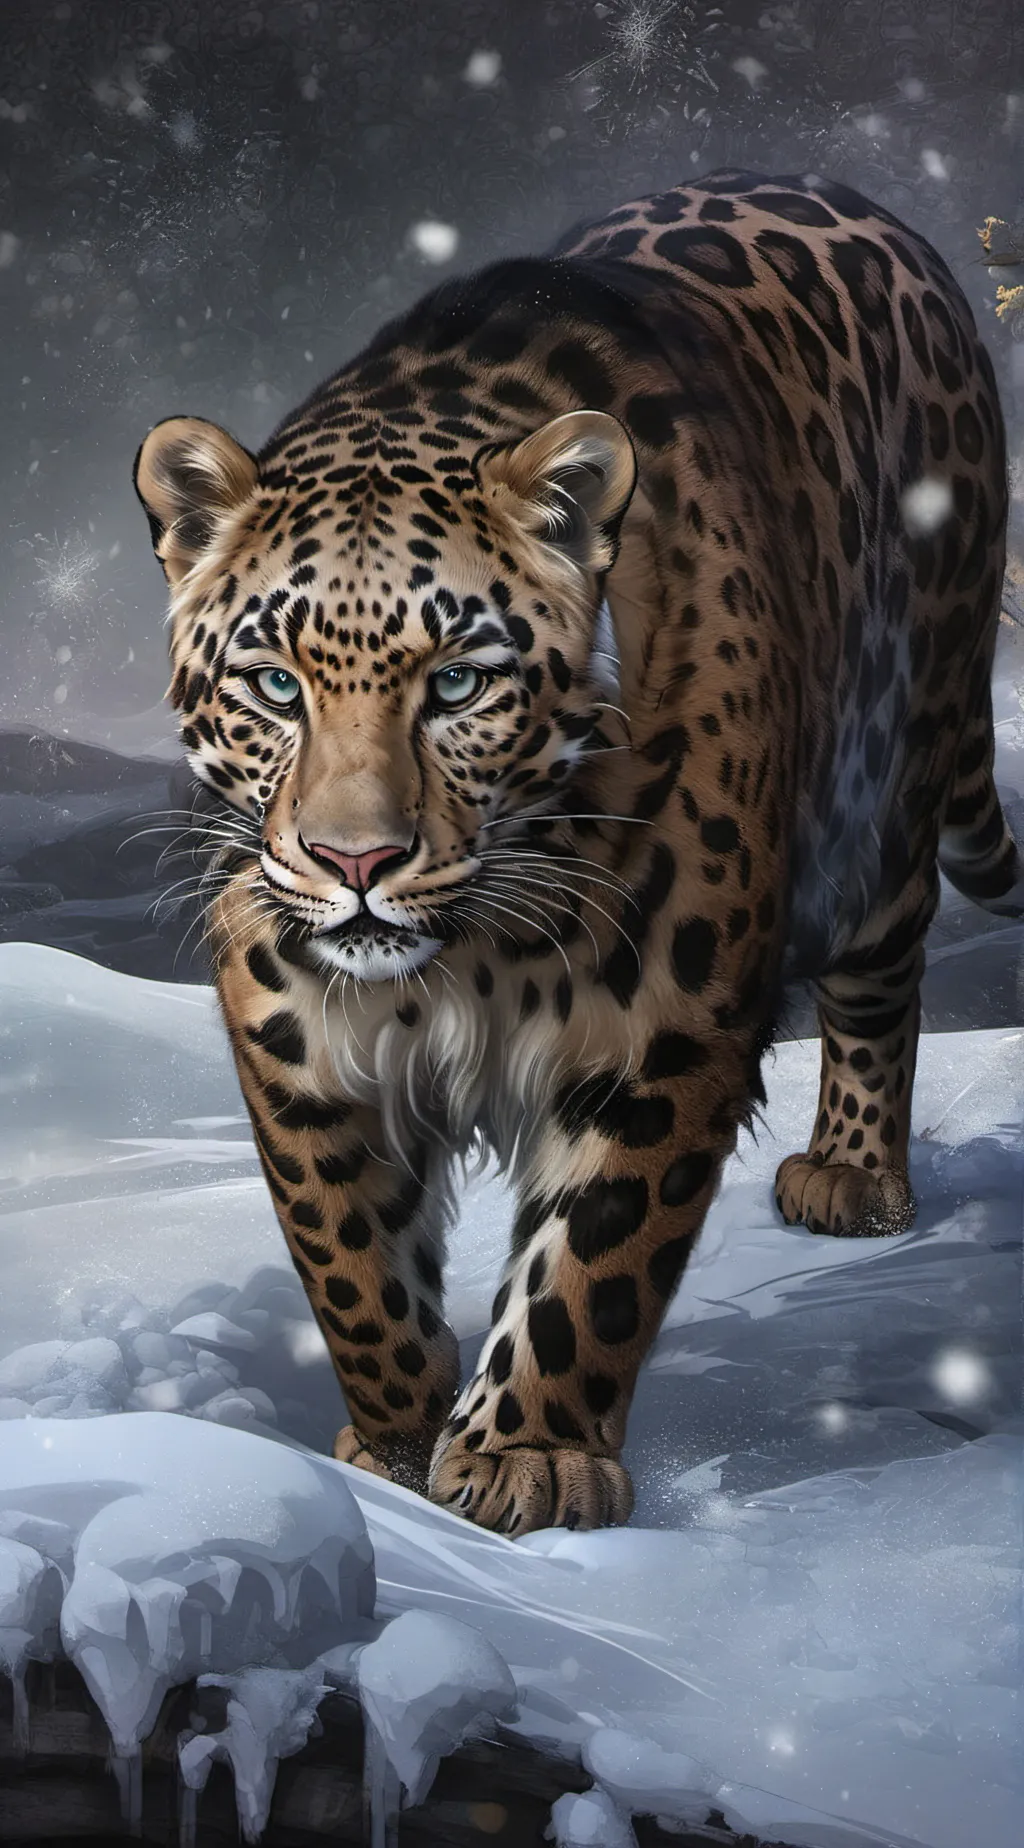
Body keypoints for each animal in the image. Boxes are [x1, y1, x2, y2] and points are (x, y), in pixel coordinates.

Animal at [134, 169, 1023, 1537]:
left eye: (456, 684)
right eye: (275, 685)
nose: (354, 862)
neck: (470, 950)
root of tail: (871, 212)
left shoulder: (671, 1014)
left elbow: (594, 1255)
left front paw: (527, 1460)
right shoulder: (284, 1006)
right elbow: (345, 1250)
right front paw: (398, 1440)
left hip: (896, 756)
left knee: (885, 961)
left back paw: (853, 1177)